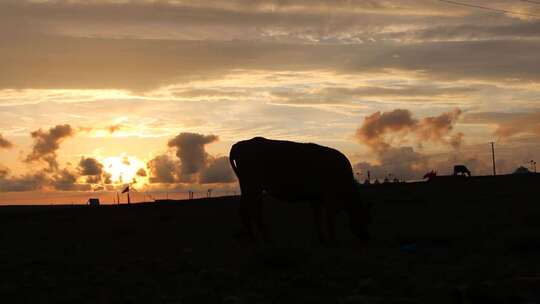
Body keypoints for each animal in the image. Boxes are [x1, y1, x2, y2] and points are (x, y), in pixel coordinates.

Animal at [228, 138, 372, 245]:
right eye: (363, 217)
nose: (366, 237)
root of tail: (240, 144)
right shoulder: (329, 198)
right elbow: (329, 218)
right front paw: (332, 240)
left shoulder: (316, 198)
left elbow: (318, 218)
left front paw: (322, 239)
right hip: (253, 187)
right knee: (253, 211)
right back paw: (264, 240)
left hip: (248, 188)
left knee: (247, 211)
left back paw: (256, 239)